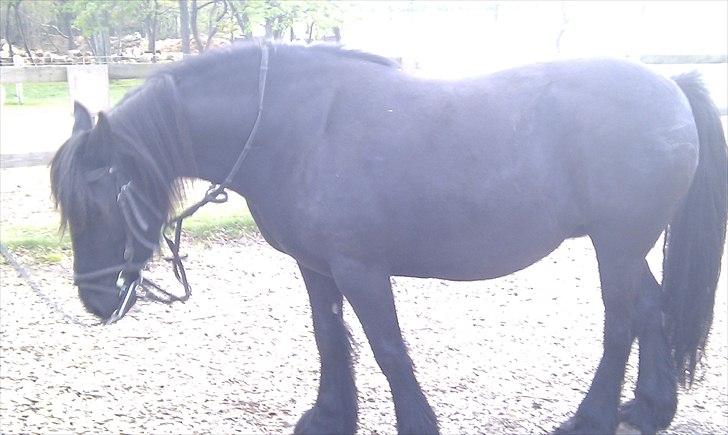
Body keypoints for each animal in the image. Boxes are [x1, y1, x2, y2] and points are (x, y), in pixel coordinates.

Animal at [50, 42, 726, 435]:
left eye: (100, 201)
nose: (95, 298)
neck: (293, 127)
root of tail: (672, 87)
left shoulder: (360, 269)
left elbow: (387, 348)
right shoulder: (316, 266)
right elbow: (329, 336)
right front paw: (329, 416)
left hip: (616, 245)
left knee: (622, 320)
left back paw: (591, 419)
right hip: (628, 247)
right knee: (651, 308)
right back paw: (648, 409)